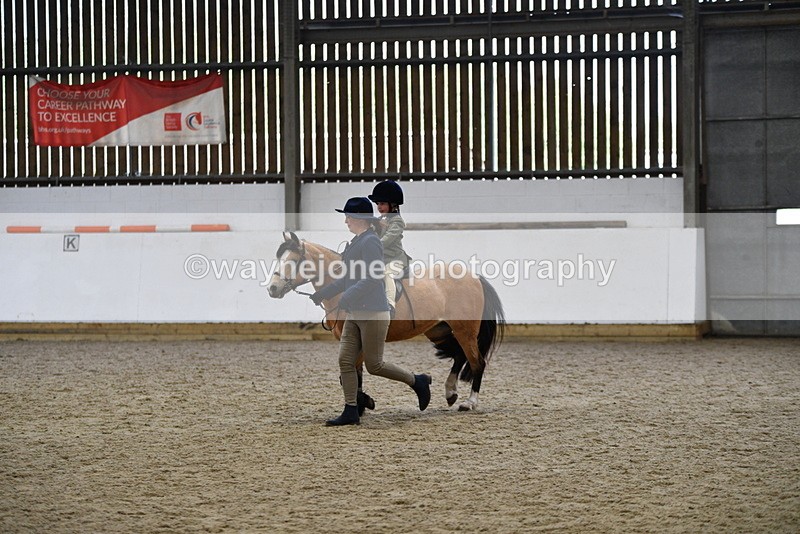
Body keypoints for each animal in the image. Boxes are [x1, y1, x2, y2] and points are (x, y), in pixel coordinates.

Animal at [266, 231, 505, 411]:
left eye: (293, 260)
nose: (272, 288)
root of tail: (474, 277)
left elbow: (352, 374)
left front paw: (364, 403)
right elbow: (352, 374)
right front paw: (362, 404)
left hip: (465, 330)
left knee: (477, 362)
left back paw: (469, 402)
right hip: (440, 329)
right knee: (459, 355)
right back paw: (450, 392)